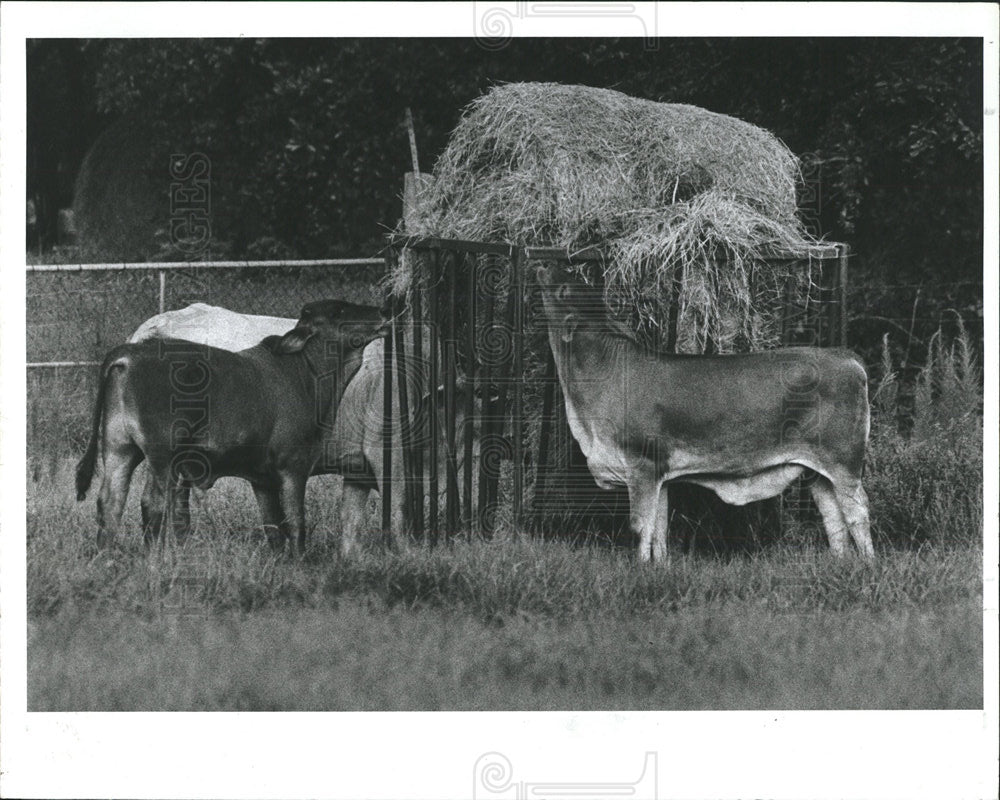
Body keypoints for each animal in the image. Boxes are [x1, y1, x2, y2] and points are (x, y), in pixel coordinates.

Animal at [74, 296, 384, 552]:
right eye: (338, 310)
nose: (382, 312)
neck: (304, 371)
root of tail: (130, 353)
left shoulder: (263, 479)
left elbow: (274, 528)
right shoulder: (294, 466)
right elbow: (296, 525)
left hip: (119, 449)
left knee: (110, 503)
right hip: (162, 456)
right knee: (153, 504)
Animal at [536, 264, 872, 564]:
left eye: (563, 289)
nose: (545, 265)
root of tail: (843, 356)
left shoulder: (643, 463)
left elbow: (640, 527)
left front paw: (639, 569)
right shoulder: (660, 474)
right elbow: (659, 528)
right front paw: (658, 568)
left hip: (844, 461)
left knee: (858, 513)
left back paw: (868, 565)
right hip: (818, 471)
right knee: (833, 515)